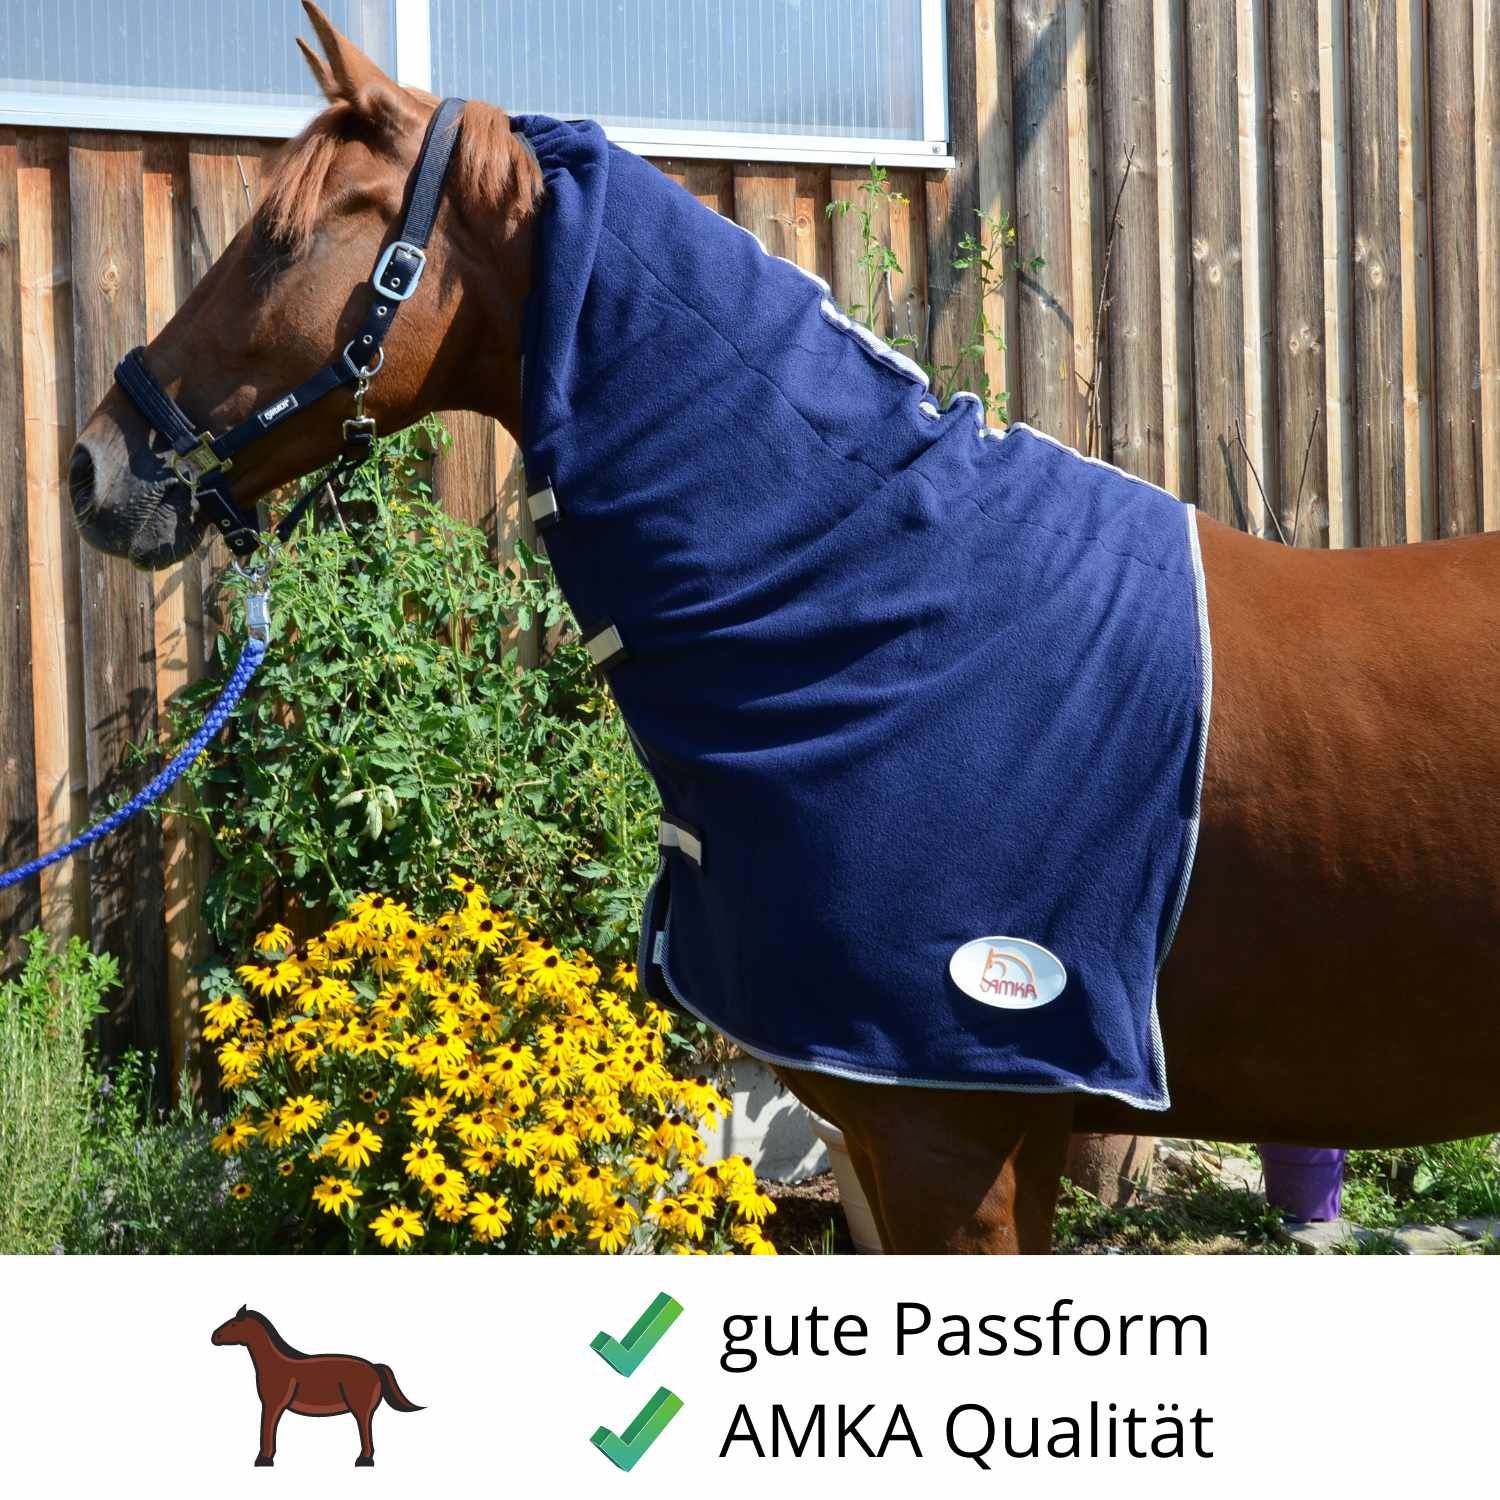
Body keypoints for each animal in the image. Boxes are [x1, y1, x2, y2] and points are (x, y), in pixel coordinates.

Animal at [210, 1305, 423, 1466]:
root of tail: (374, 1366)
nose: (214, 1336)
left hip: (361, 1408)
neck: (275, 1363)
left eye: (234, 1323)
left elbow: (267, 1429)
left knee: (365, 1430)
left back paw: (363, 1460)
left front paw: (264, 1459)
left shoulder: (272, 1404)